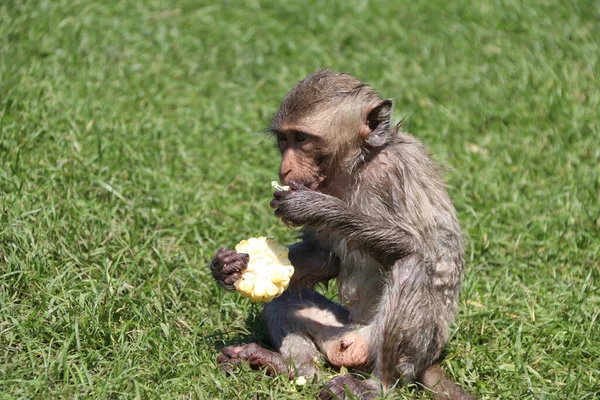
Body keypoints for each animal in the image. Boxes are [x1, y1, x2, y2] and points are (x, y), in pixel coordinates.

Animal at [209, 70, 476, 398]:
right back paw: (290, 367)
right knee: (283, 298)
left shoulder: (390, 173)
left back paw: (378, 386)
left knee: (410, 265)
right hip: (337, 330)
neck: (357, 164)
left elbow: (413, 243)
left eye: (302, 139)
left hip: (414, 349)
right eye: (284, 139)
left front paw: (316, 207)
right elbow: (323, 255)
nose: (284, 171)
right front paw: (227, 267)